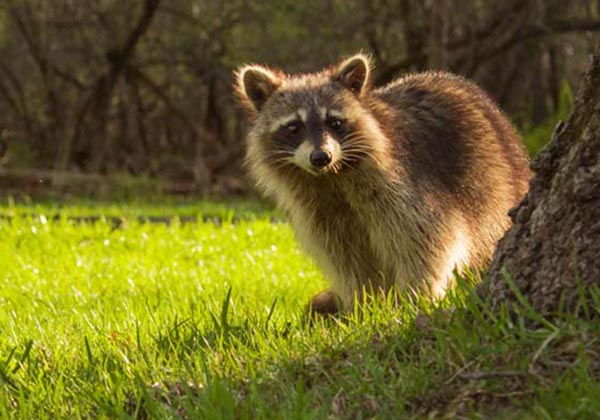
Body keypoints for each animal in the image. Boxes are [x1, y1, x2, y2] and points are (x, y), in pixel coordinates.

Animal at [233, 54, 528, 314]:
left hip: (496, 183)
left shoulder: (405, 184)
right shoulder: (320, 210)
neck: (330, 178)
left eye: (335, 122)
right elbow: (347, 258)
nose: (320, 157)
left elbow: (427, 240)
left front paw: (413, 298)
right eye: (294, 127)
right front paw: (365, 303)